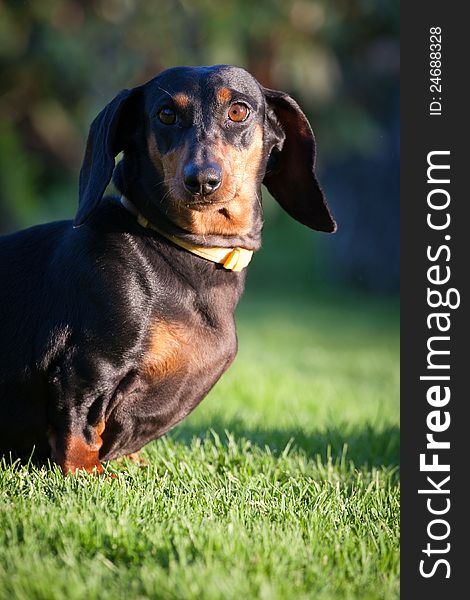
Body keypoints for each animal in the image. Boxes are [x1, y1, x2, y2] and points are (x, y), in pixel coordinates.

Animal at [0, 65, 338, 474]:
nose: (202, 180)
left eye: (239, 111)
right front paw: (88, 473)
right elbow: (79, 429)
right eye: (165, 114)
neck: (181, 251)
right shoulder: (88, 366)